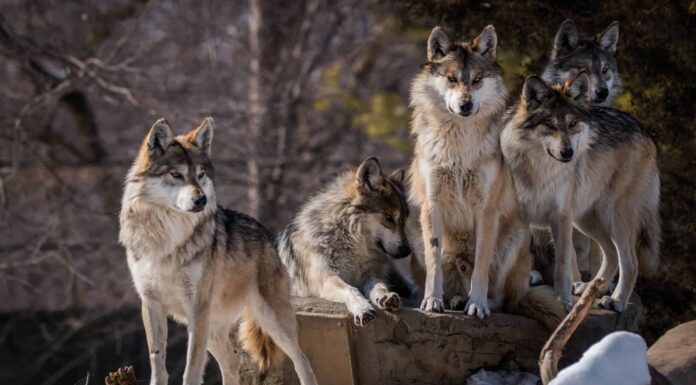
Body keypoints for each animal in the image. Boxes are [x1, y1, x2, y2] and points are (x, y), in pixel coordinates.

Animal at [120, 117, 318, 384]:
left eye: (201, 175)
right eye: (176, 174)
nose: (201, 200)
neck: (168, 239)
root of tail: (267, 233)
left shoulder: (197, 308)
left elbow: (191, 369)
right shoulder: (151, 304)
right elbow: (157, 363)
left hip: (271, 321)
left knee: (302, 360)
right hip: (213, 330)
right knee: (232, 365)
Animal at [274, 158, 410, 326]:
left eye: (404, 220)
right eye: (389, 217)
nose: (407, 251)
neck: (353, 243)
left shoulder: (368, 276)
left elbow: (380, 286)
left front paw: (386, 297)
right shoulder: (327, 278)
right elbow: (351, 289)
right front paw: (363, 308)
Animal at [406, 25, 564, 328]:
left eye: (477, 80)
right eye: (452, 79)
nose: (466, 105)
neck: (458, 146)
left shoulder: (486, 210)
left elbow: (480, 265)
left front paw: (477, 305)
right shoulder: (432, 206)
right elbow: (434, 264)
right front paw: (432, 301)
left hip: (517, 237)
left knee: (504, 301)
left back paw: (481, 302)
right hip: (414, 230)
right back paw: (453, 299)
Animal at [502, 71, 660, 312]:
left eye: (572, 124)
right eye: (550, 125)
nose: (568, 153)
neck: (540, 170)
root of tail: (644, 130)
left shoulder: (561, 217)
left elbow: (563, 266)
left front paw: (564, 302)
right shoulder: (521, 216)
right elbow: (522, 255)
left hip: (614, 218)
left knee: (630, 262)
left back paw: (616, 300)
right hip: (587, 221)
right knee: (611, 254)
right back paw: (590, 289)